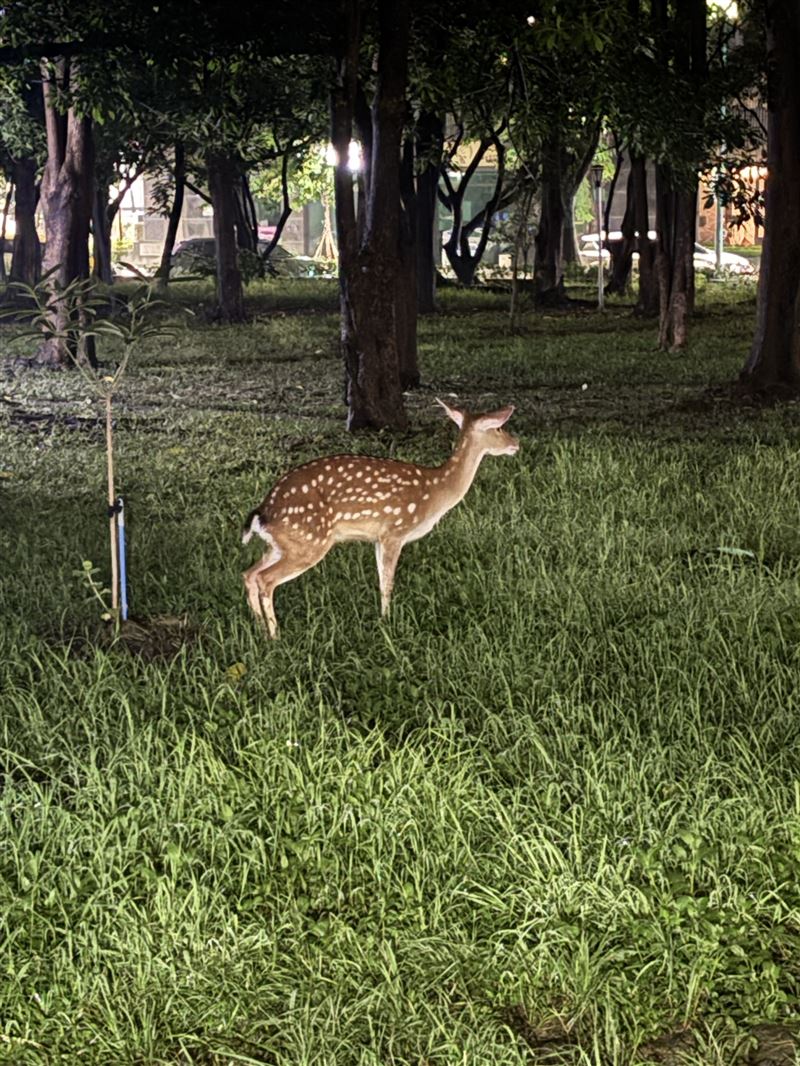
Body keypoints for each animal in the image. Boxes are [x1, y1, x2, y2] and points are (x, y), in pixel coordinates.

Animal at [241, 399, 519, 637]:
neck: (435, 491)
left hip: (284, 543)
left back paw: (259, 629)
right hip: (309, 541)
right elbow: (387, 582)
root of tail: (262, 512)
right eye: (498, 427)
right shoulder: (394, 531)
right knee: (265, 579)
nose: (516, 443)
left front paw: (383, 619)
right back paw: (275, 635)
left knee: (249, 573)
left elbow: (380, 579)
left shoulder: (377, 538)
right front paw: (388, 621)